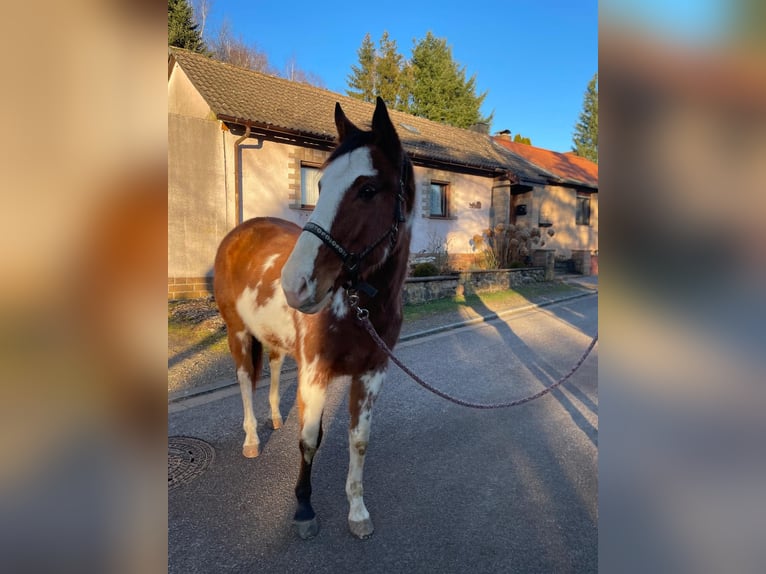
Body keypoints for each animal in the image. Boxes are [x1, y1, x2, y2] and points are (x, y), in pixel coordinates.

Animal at [213, 97, 416, 544]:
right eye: (320, 186)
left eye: (368, 189)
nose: (296, 283)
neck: (358, 308)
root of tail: (240, 233)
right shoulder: (316, 373)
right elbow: (309, 441)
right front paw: (304, 509)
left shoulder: (372, 374)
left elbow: (359, 441)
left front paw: (357, 511)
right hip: (238, 332)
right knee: (244, 380)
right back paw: (252, 437)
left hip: (273, 339)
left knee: (271, 368)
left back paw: (274, 417)